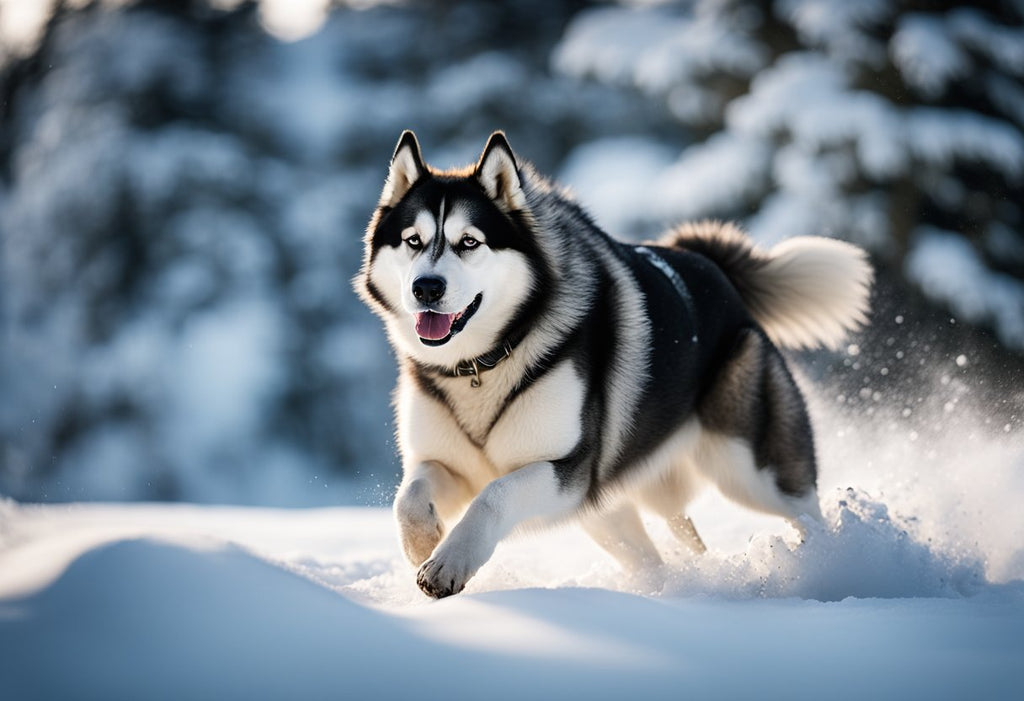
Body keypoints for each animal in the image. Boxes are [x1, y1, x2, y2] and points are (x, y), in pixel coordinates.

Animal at [354, 129, 872, 597]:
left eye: (469, 242)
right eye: (413, 240)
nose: (427, 287)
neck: (483, 363)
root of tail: (711, 266)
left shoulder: (568, 472)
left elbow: (494, 495)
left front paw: (450, 562)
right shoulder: (447, 463)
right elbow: (408, 499)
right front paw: (425, 547)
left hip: (749, 468)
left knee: (804, 512)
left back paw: (835, 562)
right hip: (616, 511)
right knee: (670, 548)